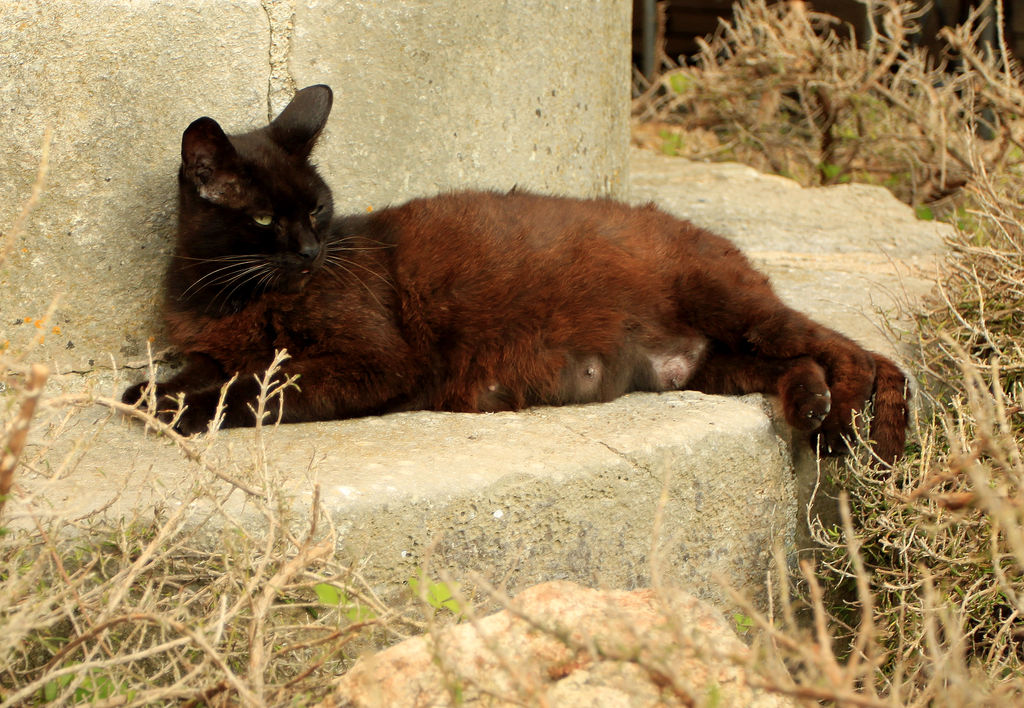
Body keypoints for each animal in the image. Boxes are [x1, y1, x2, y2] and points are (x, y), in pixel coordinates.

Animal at [123, 84, 909, 465]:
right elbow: (202, 371)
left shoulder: (373, 361)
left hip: (734, 310)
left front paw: (175, 409)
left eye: (316, 210)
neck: (225, 296)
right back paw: (810, 404)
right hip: (713, 366)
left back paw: (860, 423)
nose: (312, 253)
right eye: (263, 220)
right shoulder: (210, 343)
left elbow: (252, 388)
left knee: (861, 354)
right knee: (800, 361)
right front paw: (153, 390)